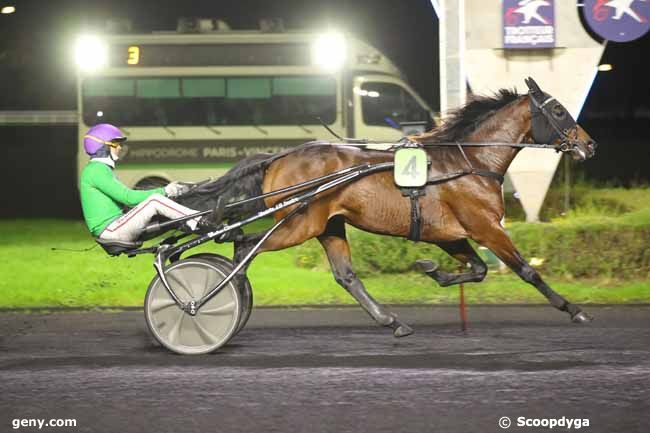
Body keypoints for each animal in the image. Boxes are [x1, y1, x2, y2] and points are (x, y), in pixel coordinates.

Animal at [178, 77, 596, 334]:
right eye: (559, 111)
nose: (589, 144)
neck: (469, 163)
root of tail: (276, 158)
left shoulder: (449, 234)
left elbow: (477, 270)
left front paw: (432, 270)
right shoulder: (486, 227)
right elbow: (528, 271)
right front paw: (575, 309)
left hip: (327, 225)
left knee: (345, 275)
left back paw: (392, 321)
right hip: (297, 224)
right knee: (244, 245)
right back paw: (219, 297)